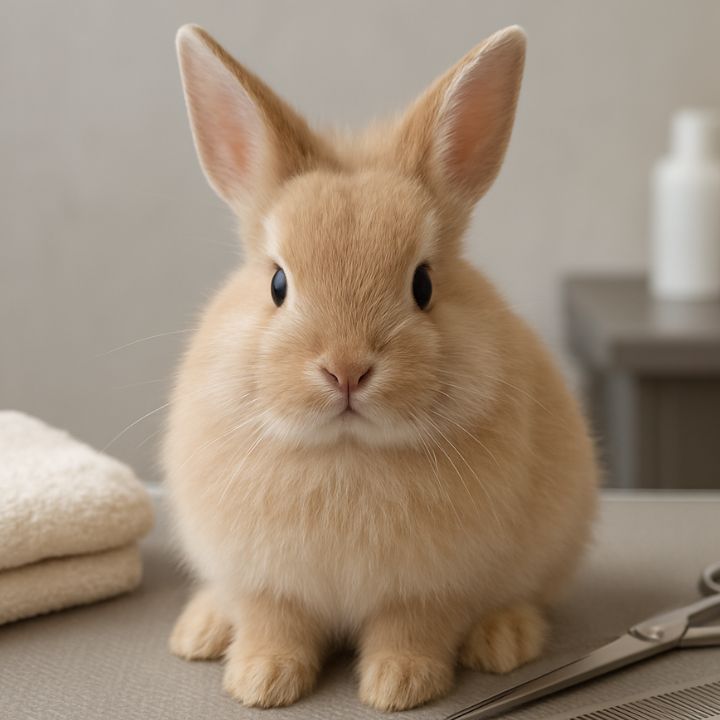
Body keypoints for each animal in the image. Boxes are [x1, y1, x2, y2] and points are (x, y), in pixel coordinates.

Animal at [164, 22, 599, 712]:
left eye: (423, 284)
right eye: (278, 283)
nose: (346, 371)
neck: (347, 451)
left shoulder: (428, 590)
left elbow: (410, 630)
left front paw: (399, 686)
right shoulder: (266, 583)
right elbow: (273, 623)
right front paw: (261, 681)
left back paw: (504, 640)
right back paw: (201, 631)